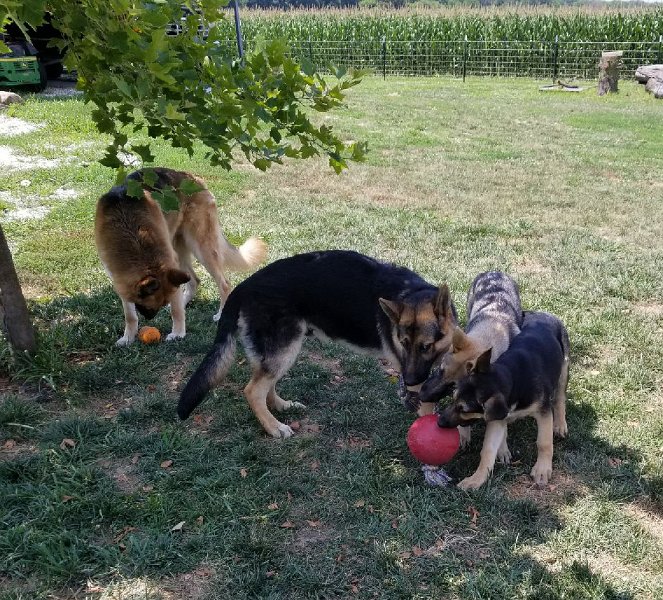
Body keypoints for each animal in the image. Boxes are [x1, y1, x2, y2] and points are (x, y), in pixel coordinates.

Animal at [96, 169, 268, 346]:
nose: (150, 317)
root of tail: (195, 178)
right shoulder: (119, 277)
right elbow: (130, 315)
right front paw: (128, 338)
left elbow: (175, 310)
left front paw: (178, 333)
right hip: (179, 251)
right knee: (194, 280)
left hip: (201, 247)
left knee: (224, 284)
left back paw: (220, 314)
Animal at [436, 312, 572, 490]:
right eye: (453, 398)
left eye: (464, 409)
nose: (439, 422)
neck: (513, 377)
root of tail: (541, 313)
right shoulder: (497, 420)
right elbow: (488, 450)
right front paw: (477, 479)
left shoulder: (543, 412)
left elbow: (544, 442)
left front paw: (542, 469)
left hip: (564, 366)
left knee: (560, 397)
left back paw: (560, 425)